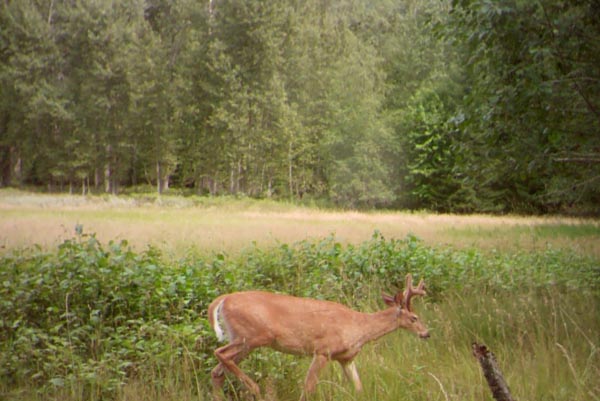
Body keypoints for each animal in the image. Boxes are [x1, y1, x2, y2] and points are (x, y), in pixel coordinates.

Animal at [209, 274, 428, 398]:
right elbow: (308, 387)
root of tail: (222, 299)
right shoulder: (323, 351)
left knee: (217, 371)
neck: (358, 327)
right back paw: (254, 388)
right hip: (252, 336)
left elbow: (359, 388)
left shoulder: (346, 358)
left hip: (242, 339)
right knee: (220, 353)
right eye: (414, 318)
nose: (427, 333)